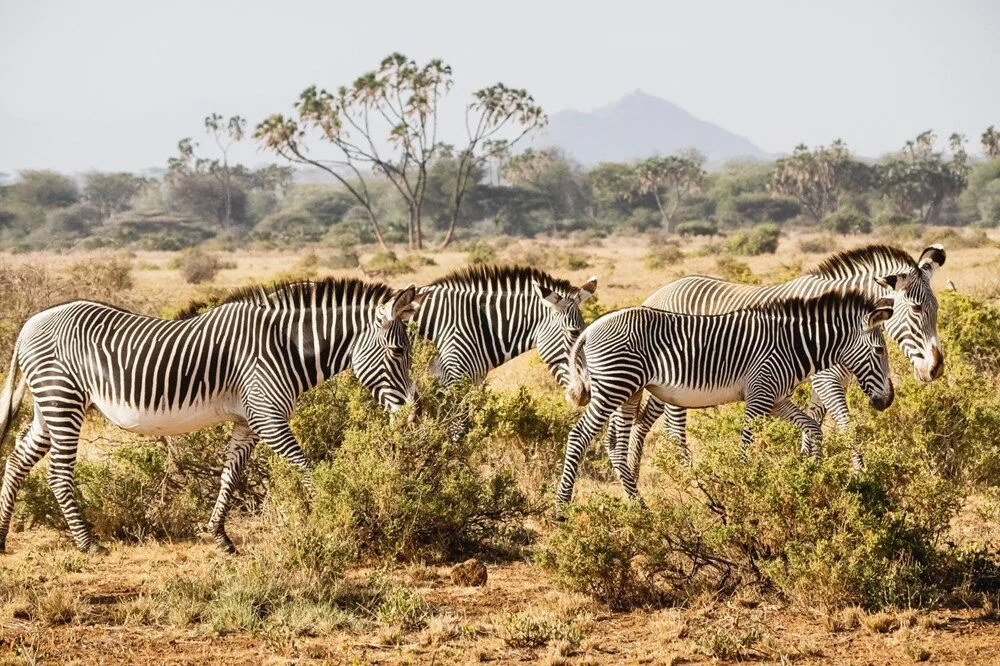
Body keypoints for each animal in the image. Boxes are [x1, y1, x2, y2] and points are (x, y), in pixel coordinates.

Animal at [0, 278, 426, 552]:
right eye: (398, 352)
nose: (411, 415)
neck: (285, 346)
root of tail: (29, 323)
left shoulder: (248, 421)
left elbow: (230, 476)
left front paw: (220, 537)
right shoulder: (269, 416)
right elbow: (307, 468)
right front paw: (335, 516)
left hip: (49, 405)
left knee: (16, 459)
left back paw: (2, 537)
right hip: (63, 399)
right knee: (57, 474)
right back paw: (88, 544)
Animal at [560, 288, 896, 500]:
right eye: (880, 351)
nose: (887, 401)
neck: (793, 345)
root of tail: (590, 329)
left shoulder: (776, 400)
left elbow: (812, 427)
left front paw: (813, 472)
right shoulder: (759, 396)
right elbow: (745, 446)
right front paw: (744, 487)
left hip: (627, 391)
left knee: (614, 445)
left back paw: (638, 505)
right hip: (613, 388)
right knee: (579, 436)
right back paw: (562, 508)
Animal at [616, 244, 944, 472]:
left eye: (937, 308)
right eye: (916, 309)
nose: (936, 369)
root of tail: (656, 294)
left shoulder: (825, 381)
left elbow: (813, 422)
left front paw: (809, 467)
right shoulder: (826, 380)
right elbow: (845, 424)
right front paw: (860, 474)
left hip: (662, 385)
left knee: (643, 421)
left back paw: (635, 470)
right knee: (673, 428)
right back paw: (690, 475)